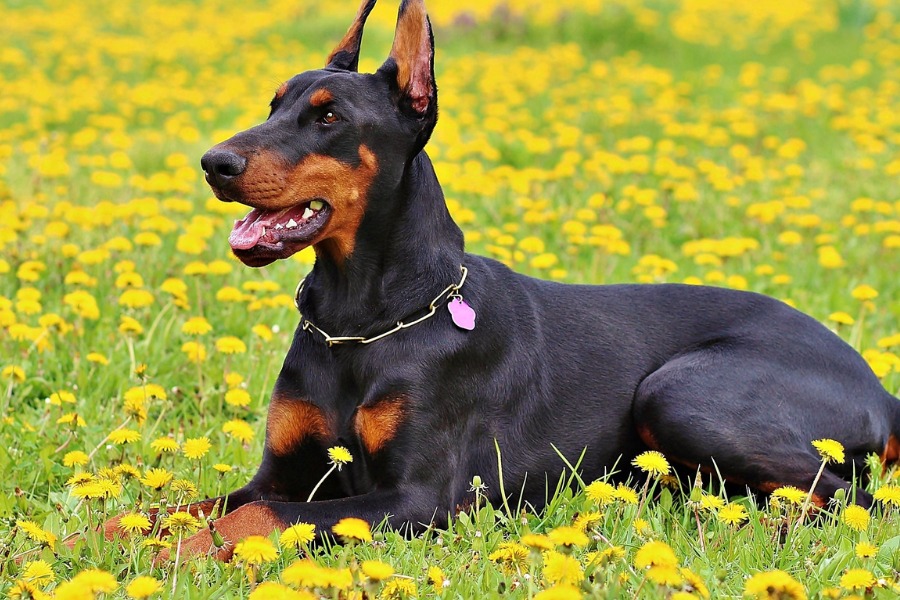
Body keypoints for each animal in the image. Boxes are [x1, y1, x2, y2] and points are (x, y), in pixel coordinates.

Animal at [107, 0, 900, 556]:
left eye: (328, 118)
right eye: (274, 102)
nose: (214, 163)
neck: (361, 320)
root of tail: (880, 389)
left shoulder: (416, 499)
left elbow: (257, 519)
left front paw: (178, 557)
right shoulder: (282, 470)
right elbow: (177, 506)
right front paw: (106, 538)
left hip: (682, 393)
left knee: (846, 496)